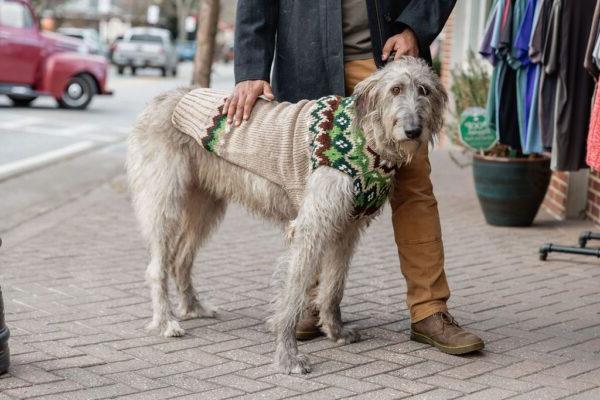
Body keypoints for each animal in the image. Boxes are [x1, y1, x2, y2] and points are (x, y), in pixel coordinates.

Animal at [125, 57, 446, 374]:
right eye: (395, 89)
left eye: (425, 90)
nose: (413, 130)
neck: (363, 137)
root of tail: (162, 98)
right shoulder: (311, 226)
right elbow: (293, 293)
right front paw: (288, 355)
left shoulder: (347, 227)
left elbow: (334, 286)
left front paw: (336, 331)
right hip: (164, 200)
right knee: (157, 266)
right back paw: (166, 321)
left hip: (206, 204)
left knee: (181, 259)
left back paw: (193, 307)